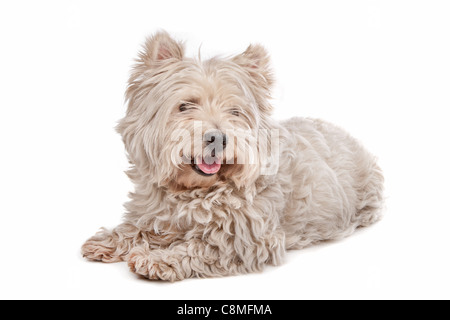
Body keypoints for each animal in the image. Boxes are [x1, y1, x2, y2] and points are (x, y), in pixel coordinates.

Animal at [81, 31, 384, 282]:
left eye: (235, 112)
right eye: (185, 106)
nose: (217, 138)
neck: (194, 190)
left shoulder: (244, 240)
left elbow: (197, 248)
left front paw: (156, 259)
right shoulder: (156, 212)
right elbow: (137, 227)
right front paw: (107, 240)